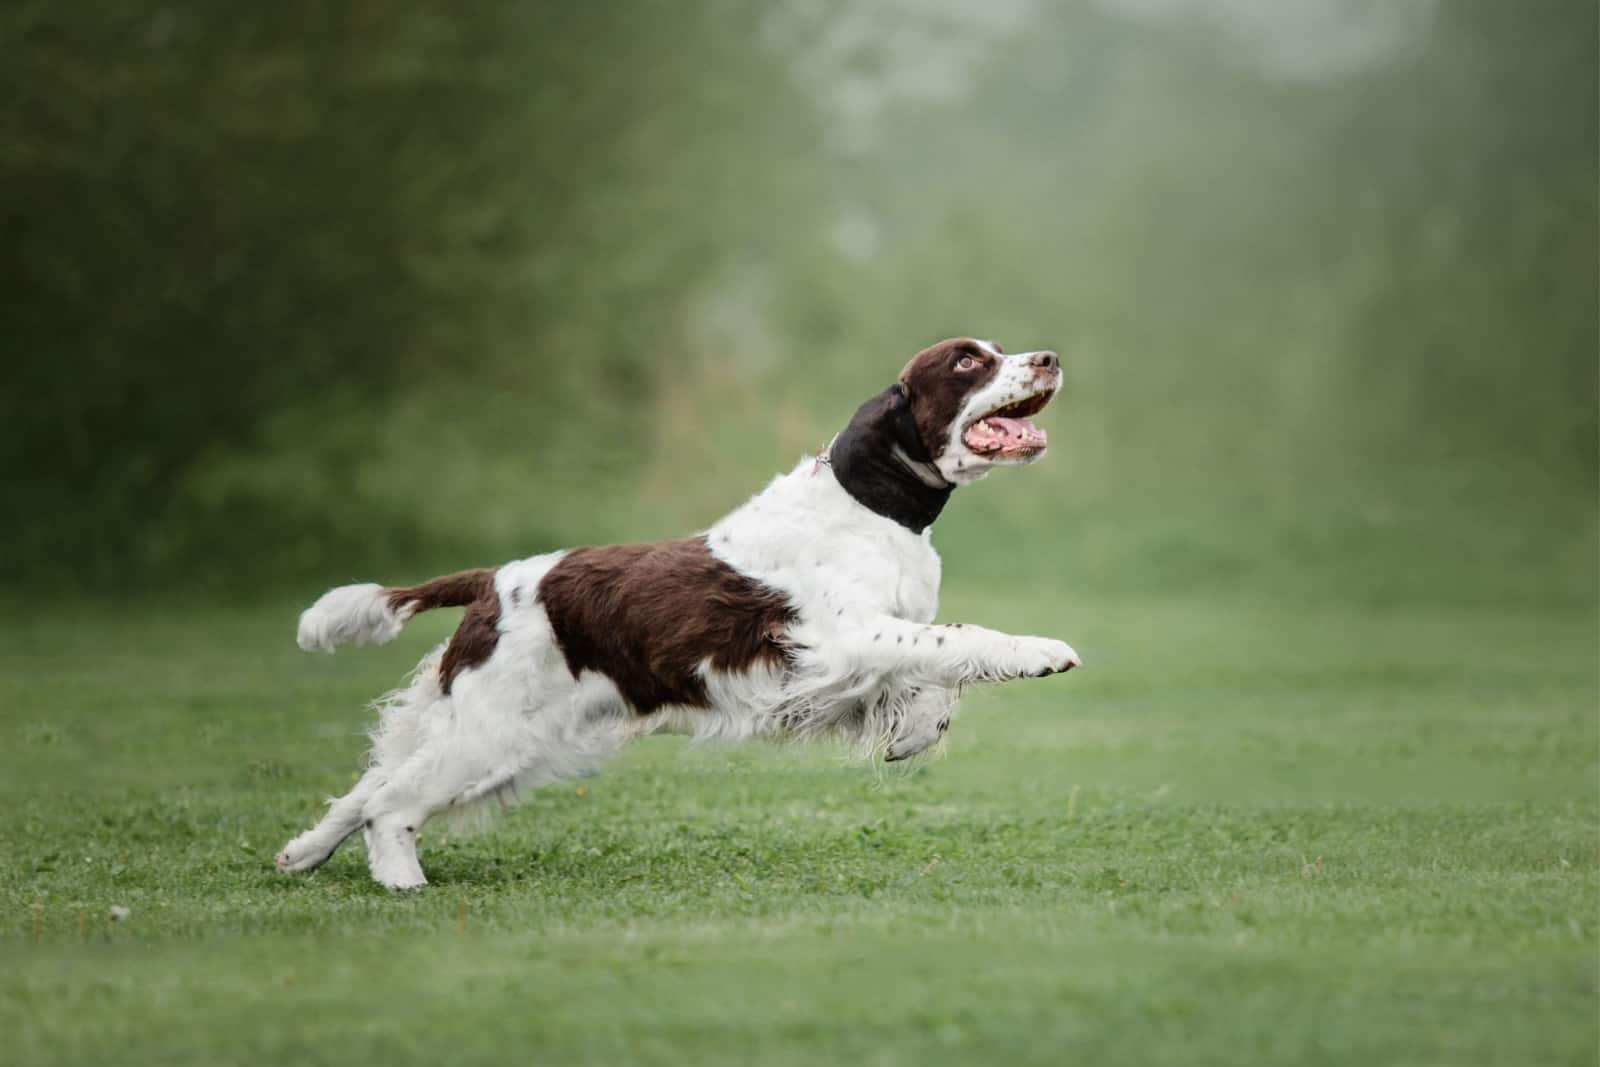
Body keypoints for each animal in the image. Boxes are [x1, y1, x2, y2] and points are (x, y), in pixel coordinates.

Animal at [281, 337, 1081, 889]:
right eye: (967, 362)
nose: (1048, 358)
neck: (872, 510)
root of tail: (492, 581)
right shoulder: (843, 637)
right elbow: (958, 640)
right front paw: (1042, 651)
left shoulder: (868, 645)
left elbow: (935, 677)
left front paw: (912, 735)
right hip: (492, 733)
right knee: (391, 803)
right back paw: (401, 882)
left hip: (490, 733)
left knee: (369, 787)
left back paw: (300, 853)